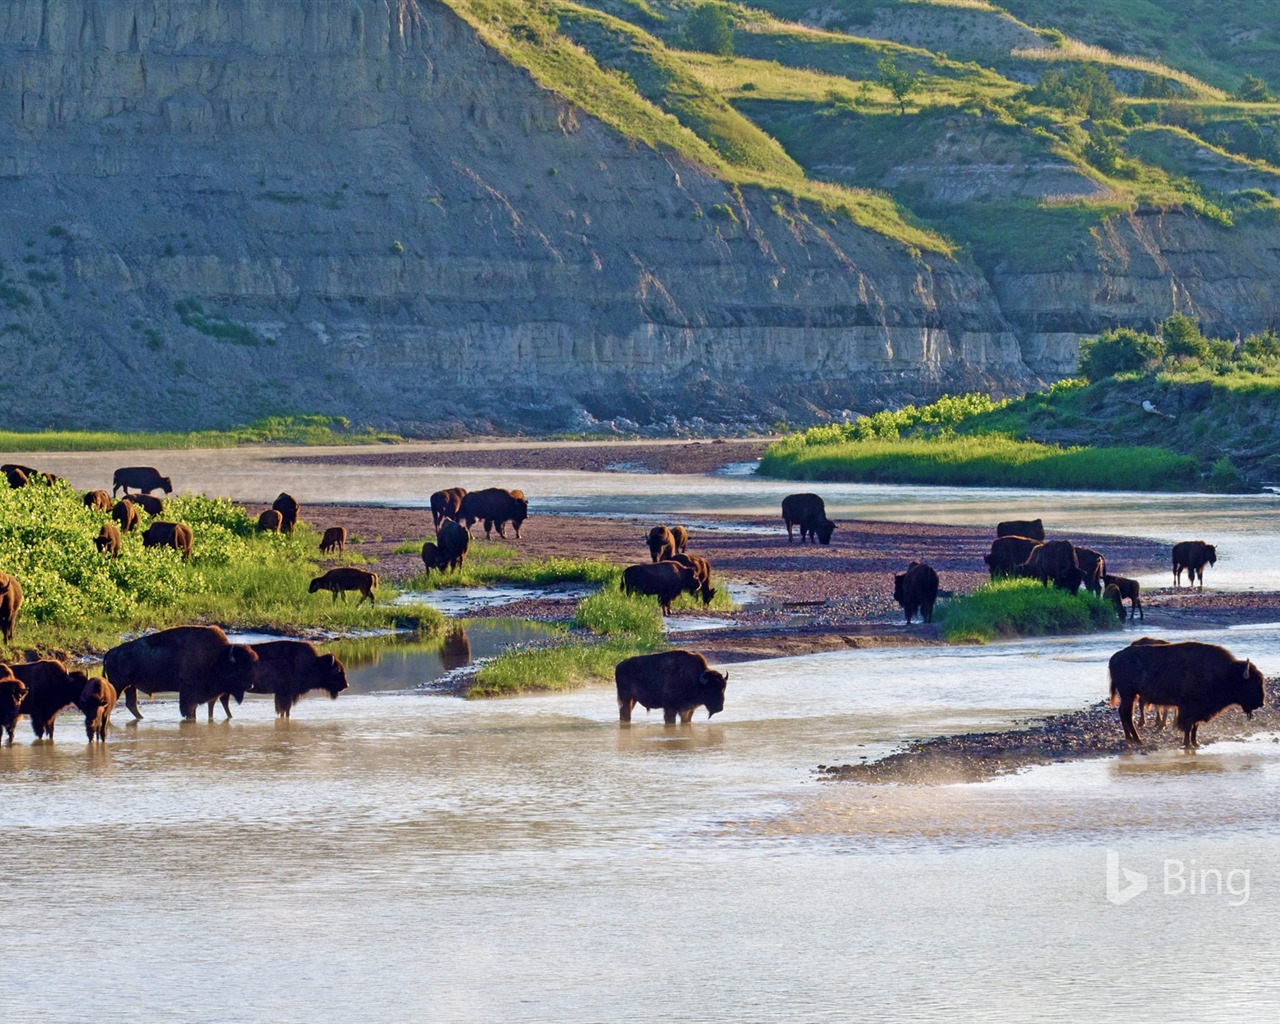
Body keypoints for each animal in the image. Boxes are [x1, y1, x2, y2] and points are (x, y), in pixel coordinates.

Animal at [104, 624, 259, 721]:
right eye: (240, 668)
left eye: (252, 665)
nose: (250, 685)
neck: (217, 657)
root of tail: (111, 652)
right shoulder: (188, 694)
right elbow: (188, 711)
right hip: (119, 685)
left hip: (130, 686)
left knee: (131, 705)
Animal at [1105, 634, 1264, 747]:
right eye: (1253, 683)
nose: (1261, 703)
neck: (1226, 673)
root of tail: (1115, 657)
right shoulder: (1188, 708)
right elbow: (1188, 726)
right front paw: (1188, 744)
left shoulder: (1197, 711)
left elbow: (1195, 727)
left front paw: (1196, 743)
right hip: (1129, 694)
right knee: (1127, 714)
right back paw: (1138, 740)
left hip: (1129, 695)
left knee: (1123, 712)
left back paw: (1130, 738)